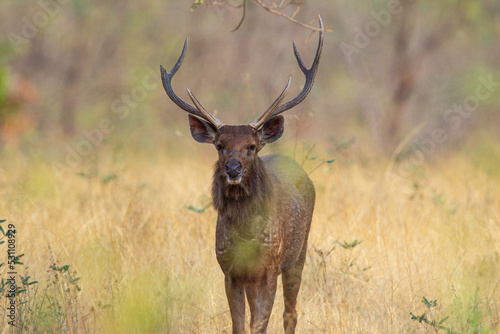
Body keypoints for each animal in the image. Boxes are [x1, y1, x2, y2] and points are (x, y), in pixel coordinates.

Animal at [160, 17, 324, 334]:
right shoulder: (230, 270)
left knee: (291, 313)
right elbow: (240, 324)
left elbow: (260, 324)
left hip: (298, 254)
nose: (233, 169)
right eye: (220, 145)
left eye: (251, 146)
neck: (246, 235)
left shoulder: (270, 266)